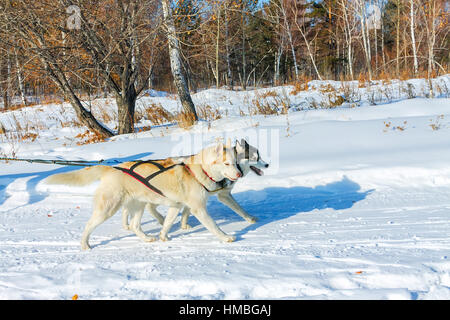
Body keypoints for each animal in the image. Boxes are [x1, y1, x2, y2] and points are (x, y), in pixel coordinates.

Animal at [44, 142, 243, 250]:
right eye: (226, 163)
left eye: (235, 162)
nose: (239, 174)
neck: (197, 170)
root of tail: (111, 168)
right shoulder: (198, 208)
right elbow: (214, 226)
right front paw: (226, 237)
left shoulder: (176, 206)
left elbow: (167, 223)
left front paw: (163, 236)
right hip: (108, 209)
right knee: (88, 226)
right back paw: (85, 245)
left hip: (138, 206)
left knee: (134, 225)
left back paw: (147, 238)